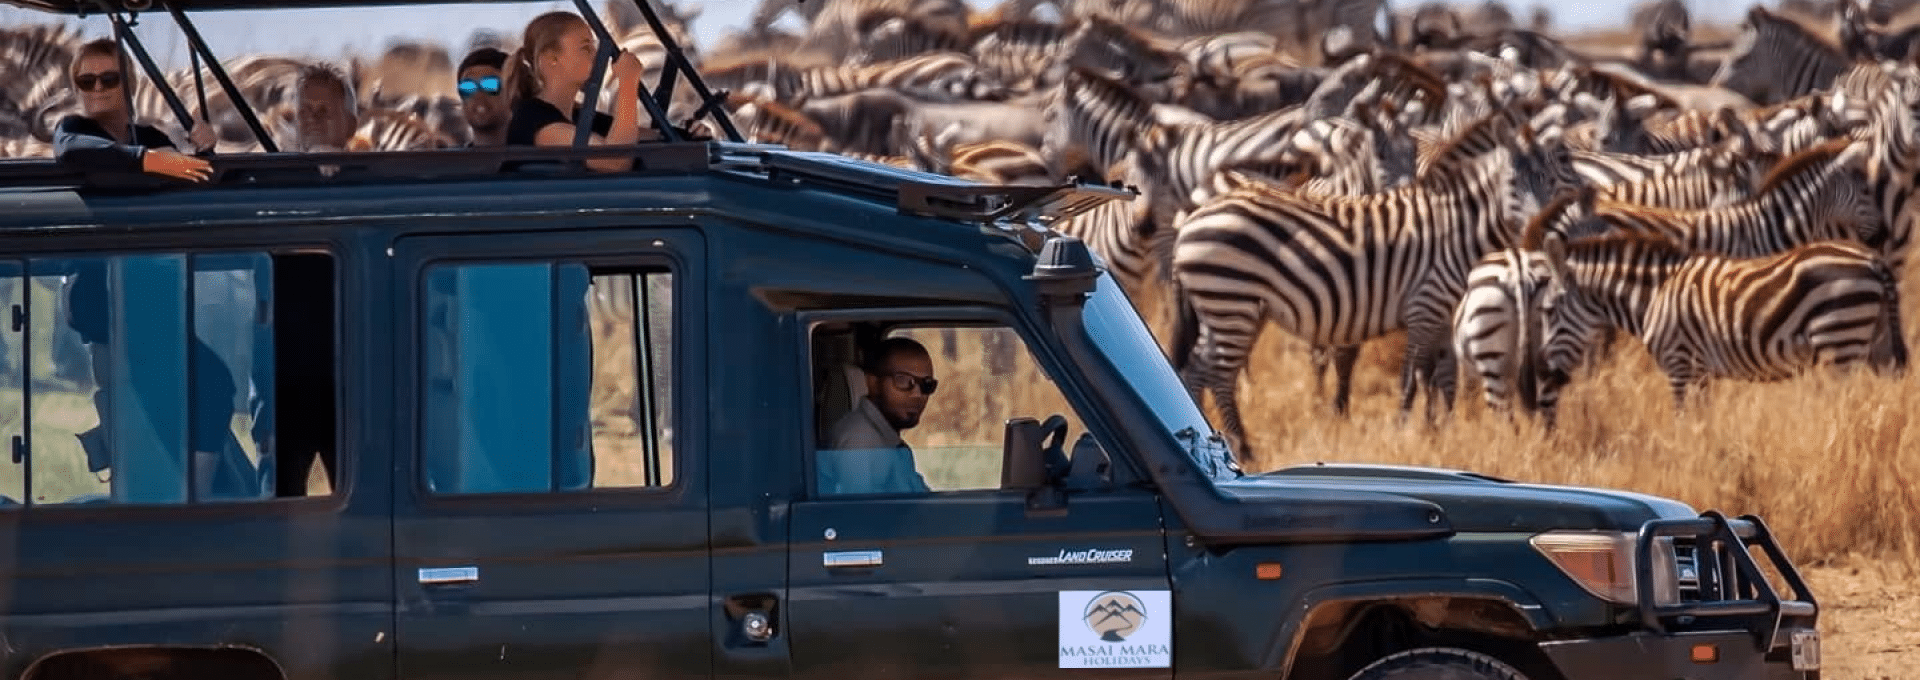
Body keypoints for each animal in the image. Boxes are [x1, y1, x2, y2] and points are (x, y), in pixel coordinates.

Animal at [1528, 231, 1904, 416]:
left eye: (1548, 311)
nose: (1543, 373)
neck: (1654, 295)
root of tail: (1872, 258)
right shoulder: (1700, 373)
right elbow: (1702, 425)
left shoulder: (1679, 366)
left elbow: (1683, 423)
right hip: (1875, 346)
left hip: (1838, 342)